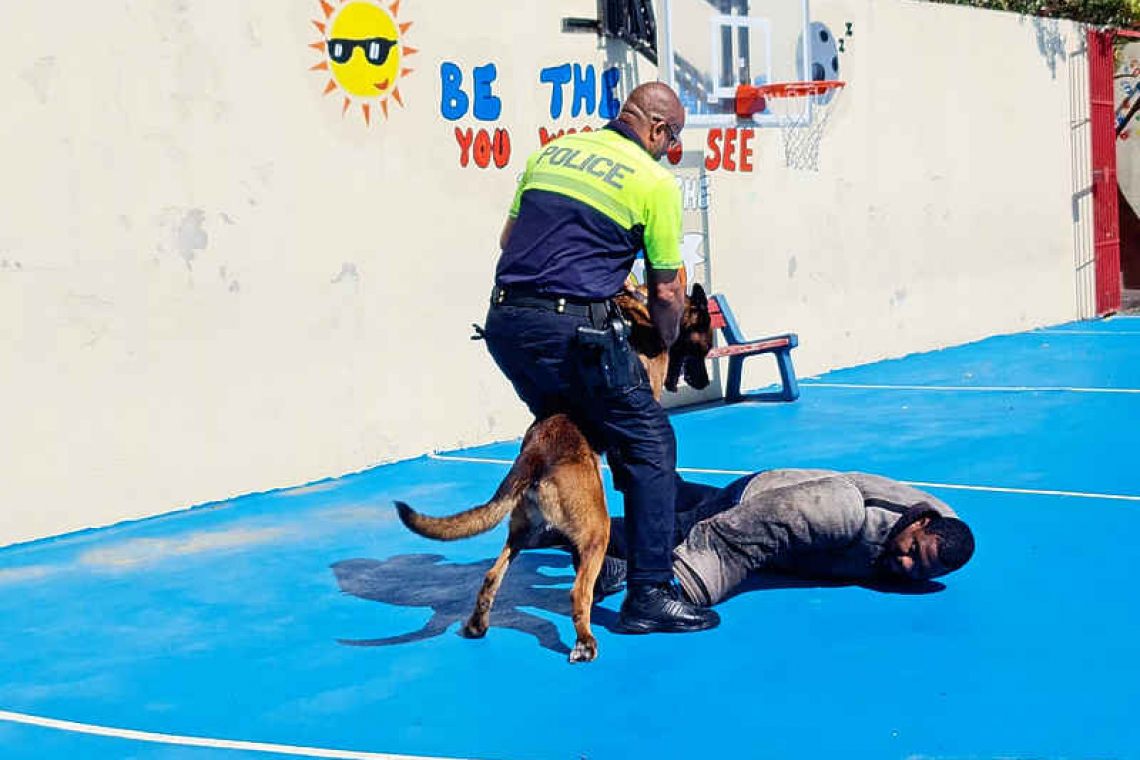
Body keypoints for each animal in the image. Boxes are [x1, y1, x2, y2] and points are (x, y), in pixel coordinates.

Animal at [396, 282, 706, 660]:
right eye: (706, 337)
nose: (705, 381)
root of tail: (534, 452)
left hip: (523, 530)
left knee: (492, 575)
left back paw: (477, 624)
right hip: (596, 528)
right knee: (577, 591)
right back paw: (585, 640)